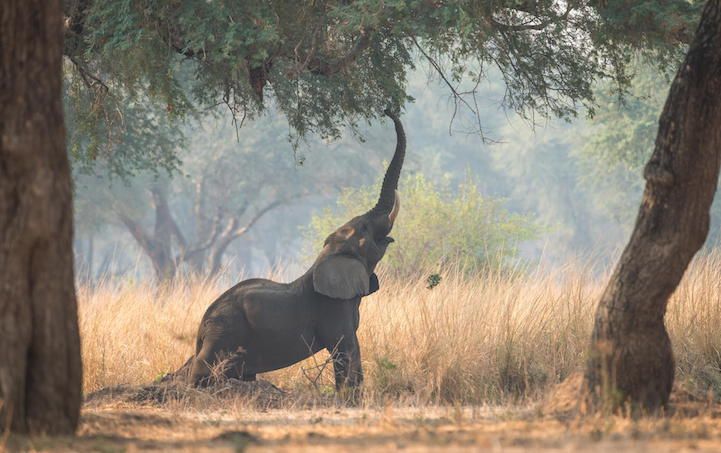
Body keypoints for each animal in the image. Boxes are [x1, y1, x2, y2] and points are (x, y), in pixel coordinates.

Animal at [184, 107, 404, 390]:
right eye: (364, 228)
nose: (388, 110)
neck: (327, 256)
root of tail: (201, 326)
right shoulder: (332, 307)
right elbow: (347, 349)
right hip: (224, 329)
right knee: (204, 368)